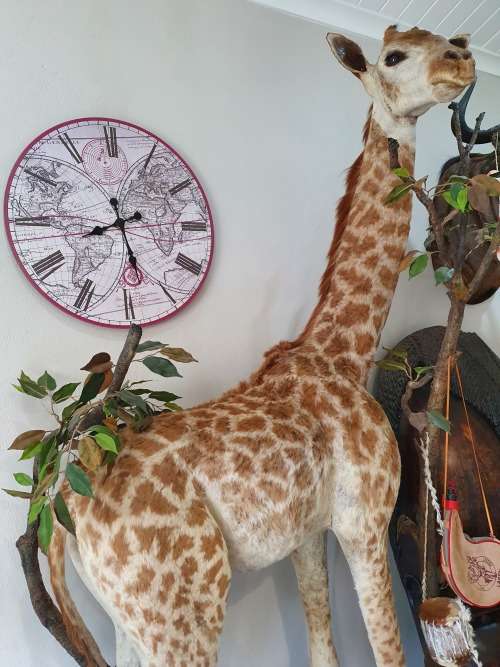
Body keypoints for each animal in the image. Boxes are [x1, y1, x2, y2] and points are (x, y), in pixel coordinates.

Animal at [48, 26, 475, 667]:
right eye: (395, 56)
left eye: (444, 40)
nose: (463, 61)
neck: (343, 352)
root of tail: (64, 505)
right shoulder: (364, 520)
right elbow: (387, 649)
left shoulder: (307, 533)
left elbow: (322, 638)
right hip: (184, 610)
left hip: (129, 618)